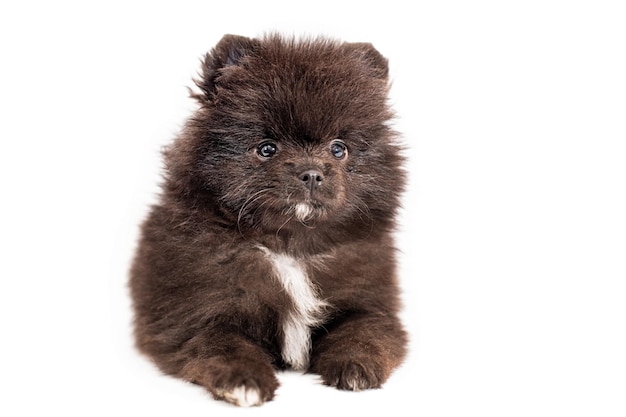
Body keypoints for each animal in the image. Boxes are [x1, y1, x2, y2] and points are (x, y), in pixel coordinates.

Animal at [129, 33, 408, 406]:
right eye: (267, 148)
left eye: (338, 149)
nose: (312, 173)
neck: (290, 247)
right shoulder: (199, 312)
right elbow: (224, 344)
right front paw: (244, 380)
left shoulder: (368, 298)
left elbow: (364, 331)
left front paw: (355, 367)